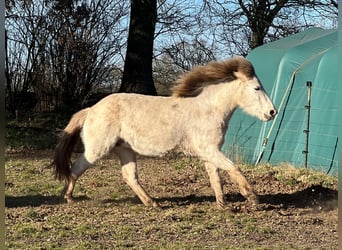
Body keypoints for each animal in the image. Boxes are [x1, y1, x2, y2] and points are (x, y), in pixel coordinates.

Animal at [52, 57, 278, 208]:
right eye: (257, 88)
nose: (272, 112)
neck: (208, 109)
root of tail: (91, 109)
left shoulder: (210, 153)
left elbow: (216, 178)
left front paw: (222, 205)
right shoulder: (210, 151)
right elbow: (233, 168)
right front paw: (252, 197)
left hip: (125, 151)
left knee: (130, 177)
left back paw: (152, 203)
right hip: (97, 150)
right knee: (76, 168)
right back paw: (68, 197)